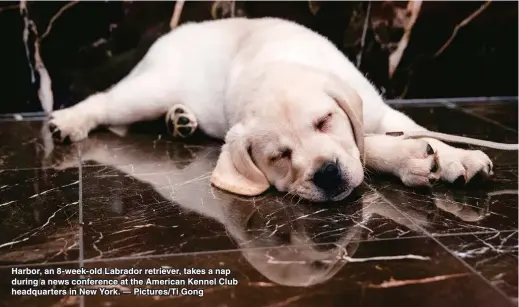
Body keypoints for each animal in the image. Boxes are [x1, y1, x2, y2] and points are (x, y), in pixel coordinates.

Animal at [47, 16, 492, 202]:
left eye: (325, 121)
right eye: (280, 156)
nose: (327, 175)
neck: (278, 64)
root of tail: (174, 32)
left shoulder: (380, 111)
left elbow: (415, 130)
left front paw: (458, 157)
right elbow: (371, 147)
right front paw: (410, 158)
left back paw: (181, 121)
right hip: (149, 90)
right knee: (105, 102)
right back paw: (66, 122)